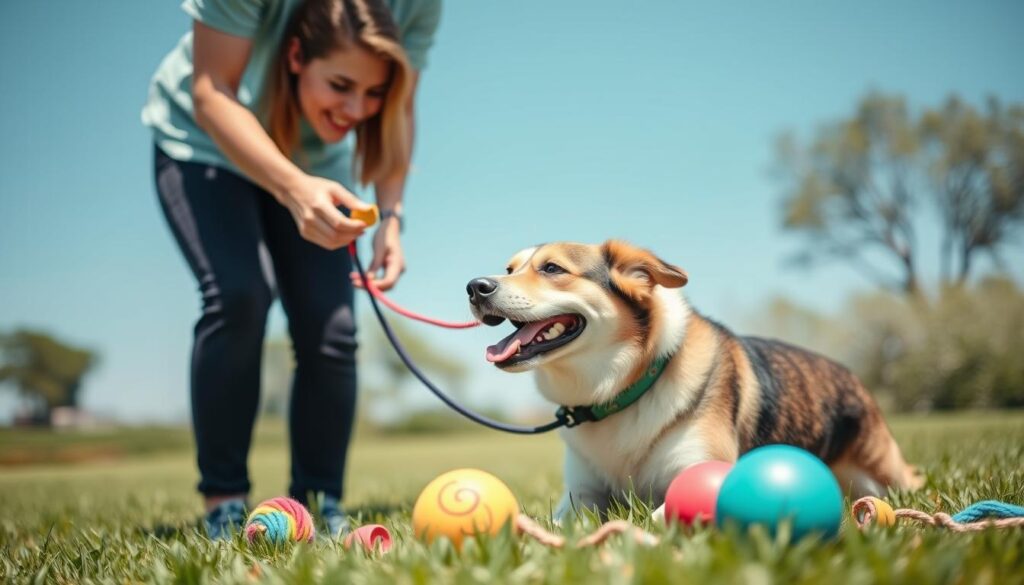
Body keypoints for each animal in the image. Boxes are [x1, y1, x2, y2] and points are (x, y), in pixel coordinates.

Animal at [468, 240, 925, 524]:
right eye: (510, 268)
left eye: (552, 268)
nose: (475, 285)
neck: (620, 392)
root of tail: (853, 377)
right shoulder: (580, 495)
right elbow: (555, 521)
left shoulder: (704, 470)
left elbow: (652, 520)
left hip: (886, 469)